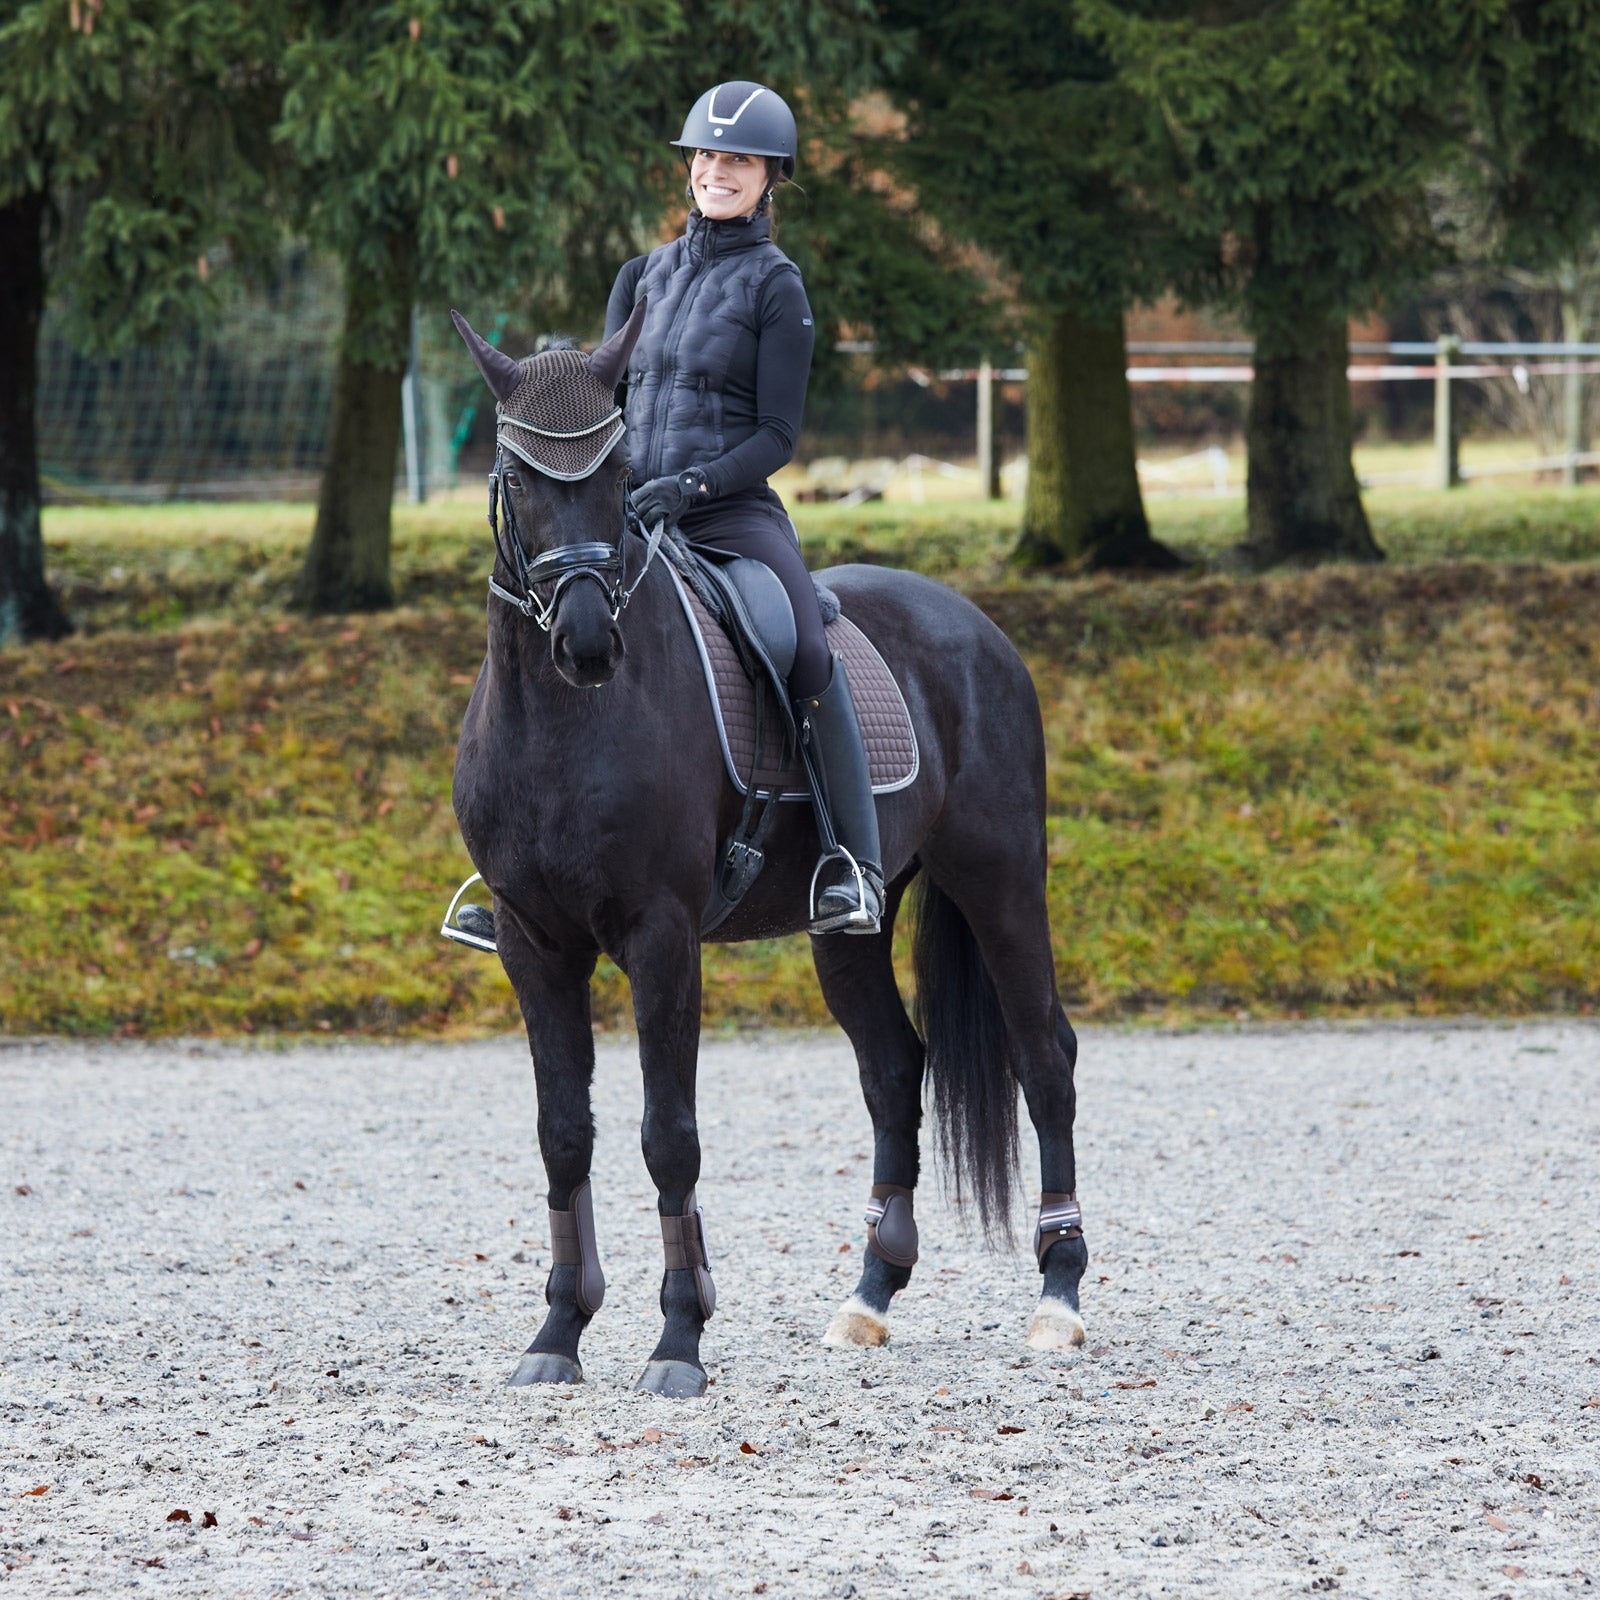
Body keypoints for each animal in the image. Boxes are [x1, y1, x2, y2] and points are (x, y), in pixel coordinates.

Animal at [447, 305, 1088, 1398]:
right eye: (519, 477)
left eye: (620, 478)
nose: (586, 644)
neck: (561, 723)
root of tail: (975, 624)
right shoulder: (535, 943)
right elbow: (563, 1135)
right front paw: (558, 1332)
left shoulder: (661, 937)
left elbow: (669, 1136)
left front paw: (678, 1339)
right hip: (851, 926)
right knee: (894, 1070)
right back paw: (870, 1294)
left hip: (1001, 884)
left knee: (1044, 1056)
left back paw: (1058, 1296)